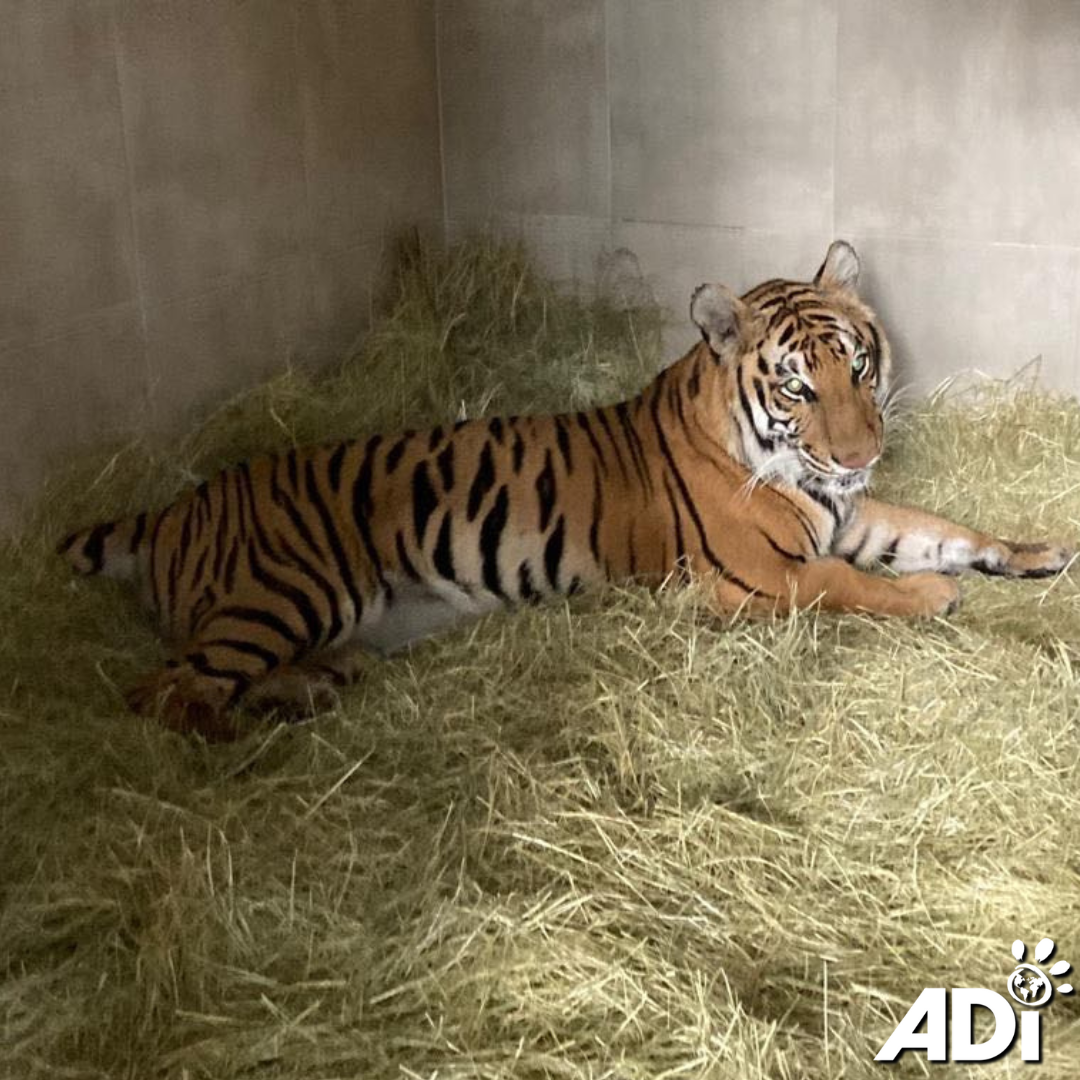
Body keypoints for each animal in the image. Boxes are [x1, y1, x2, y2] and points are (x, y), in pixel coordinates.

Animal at [59, 241, 1073, 741]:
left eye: (857, 364)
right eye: (797, 387)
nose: (864, 451)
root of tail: (175, 505)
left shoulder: (848, 517)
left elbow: (943, 527)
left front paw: (1039, 551)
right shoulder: (761, 576)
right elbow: (859, 586)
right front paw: (935, 595)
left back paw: (312, 686)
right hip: (292, 587)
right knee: (163, 688)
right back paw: (243, 736)